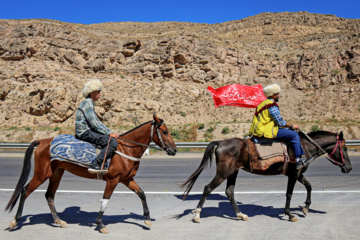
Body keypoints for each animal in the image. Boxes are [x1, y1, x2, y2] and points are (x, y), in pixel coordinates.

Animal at [5, 114, 177, 232]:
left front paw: (147, 219)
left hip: (56, 173)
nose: (174, 150)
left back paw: (59, 221)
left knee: (49, 195)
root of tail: (42, 141)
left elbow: (142, 193)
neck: (125, 149)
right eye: (165, 131)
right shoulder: (113, 180)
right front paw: (100, 224)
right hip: (41, 174)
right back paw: (15, 221)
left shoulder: (127, 179)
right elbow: (105, 201)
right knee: (25, 191)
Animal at [183, 130, 352, 222]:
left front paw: (305, 207)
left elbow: (309, 186)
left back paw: (241, 215)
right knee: (208, 188)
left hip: (233, 172)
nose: (349, 168)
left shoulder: (298, 174)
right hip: (223, 172)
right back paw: (197, 215)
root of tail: (220, 142)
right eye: (344, 148)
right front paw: (290, 214)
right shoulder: (294, 174)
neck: (305, 147)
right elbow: (289, 194)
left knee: (229, 192)